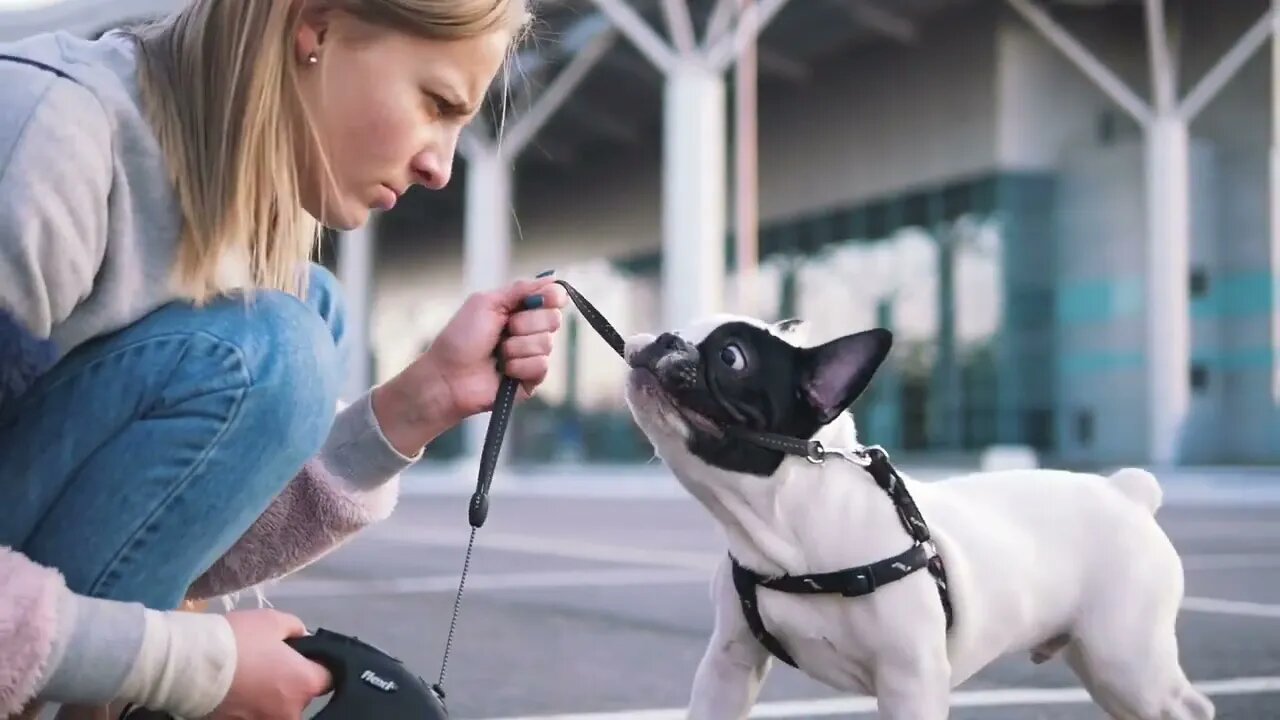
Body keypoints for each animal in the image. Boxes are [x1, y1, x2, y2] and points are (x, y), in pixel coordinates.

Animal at [624, 313, 1213, 717]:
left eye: (731, 358)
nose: (666, 338)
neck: (791, 525)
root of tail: (1126, 492)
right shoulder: (730, 664)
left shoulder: (910, 680)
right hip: (1105, 666)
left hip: (1126, 659)